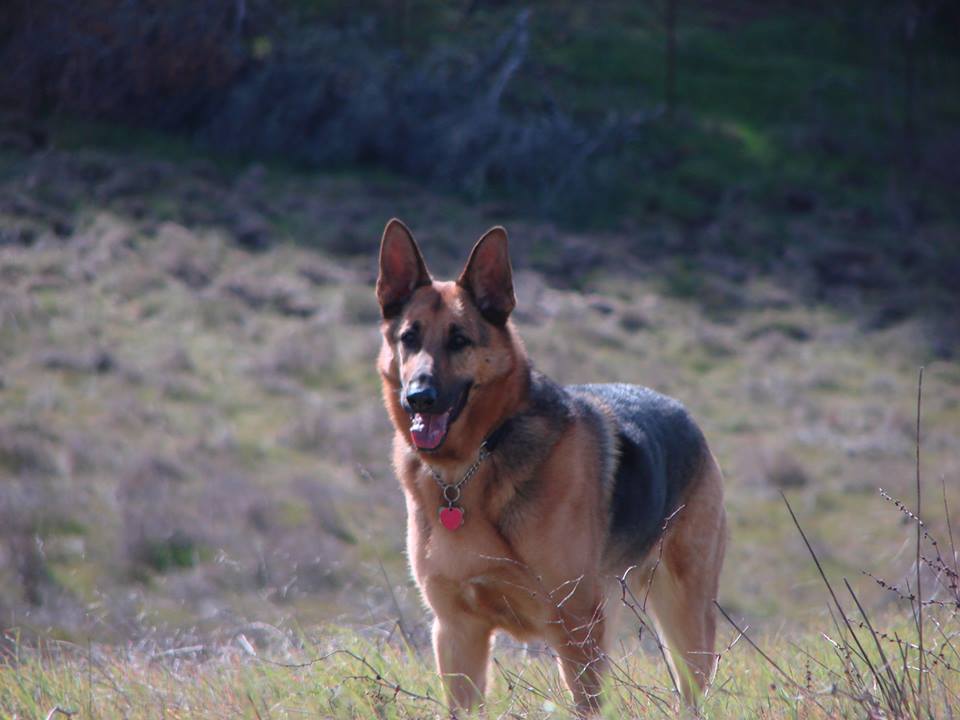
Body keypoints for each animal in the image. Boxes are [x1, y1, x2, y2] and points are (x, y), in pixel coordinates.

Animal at [376, 219, 728, 716]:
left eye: (459, 340)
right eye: (409, 338)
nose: (419, 398)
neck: (475, 463)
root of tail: (684, 414)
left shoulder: (577, 628)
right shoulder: (457, 633)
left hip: (684, 617)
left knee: (693, 689)